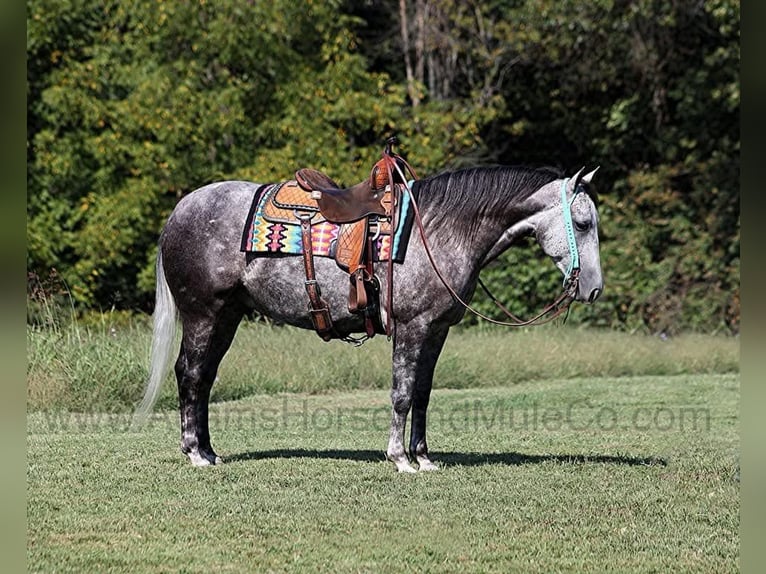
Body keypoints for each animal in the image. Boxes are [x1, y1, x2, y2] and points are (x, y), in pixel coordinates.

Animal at [138, 164, 608, 474]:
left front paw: (424, 457)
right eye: (583, 223)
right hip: (203, 313)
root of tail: (181, 210)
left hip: (228, 316)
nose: (593, 289)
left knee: (204, 378)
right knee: (191, 375)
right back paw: (195, 453)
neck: (437, 231)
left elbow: (422, 394)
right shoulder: (411, 328)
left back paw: (209, 450)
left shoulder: (436, 331)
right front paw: (400, 459)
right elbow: (401, 394)